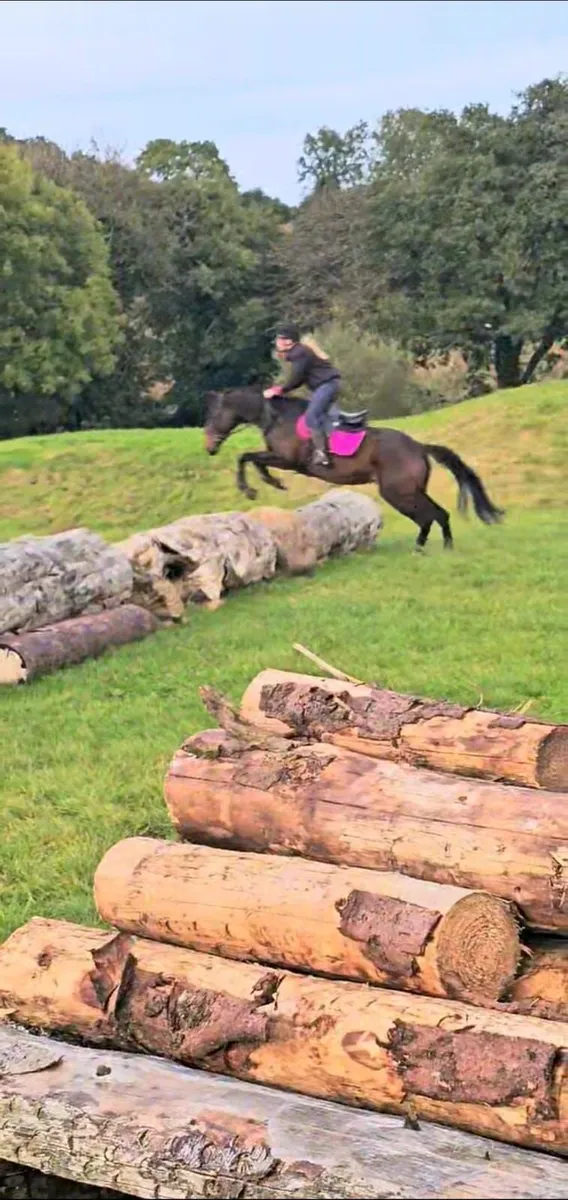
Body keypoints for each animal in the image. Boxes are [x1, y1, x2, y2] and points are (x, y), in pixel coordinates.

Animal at [204, 383, 503, 550]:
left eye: (213, 415)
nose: (209, 448)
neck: (275, 417)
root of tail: (419, 446)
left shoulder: (288, 460)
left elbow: (247, 457)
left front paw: (255, 487)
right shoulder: (279, 457)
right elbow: (251, 458)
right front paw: (270, 482)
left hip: (397, 492)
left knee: (431, 516)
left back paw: (432, 547)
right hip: (409, 491)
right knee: (436, 515)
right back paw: (434, 547)